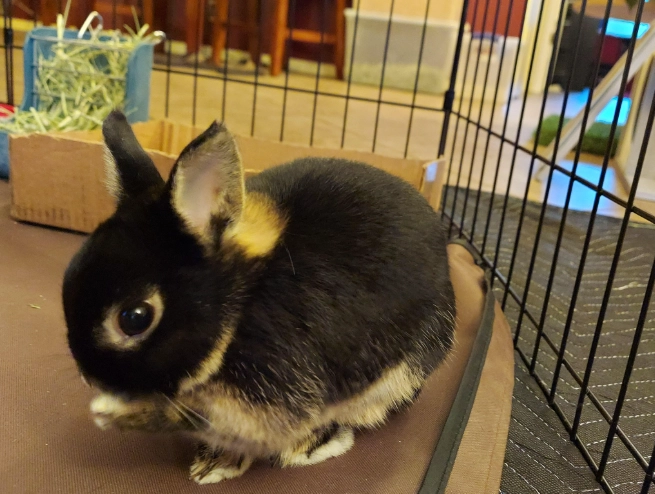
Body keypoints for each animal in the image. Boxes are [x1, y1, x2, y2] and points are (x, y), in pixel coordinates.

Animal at [62, 110, 456, 484]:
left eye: (134, 318)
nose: (90, 379)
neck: (237, 309)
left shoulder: (270, 397)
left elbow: (208, 419)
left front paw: (116, 414)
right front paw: (213, 460)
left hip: (393, 379)